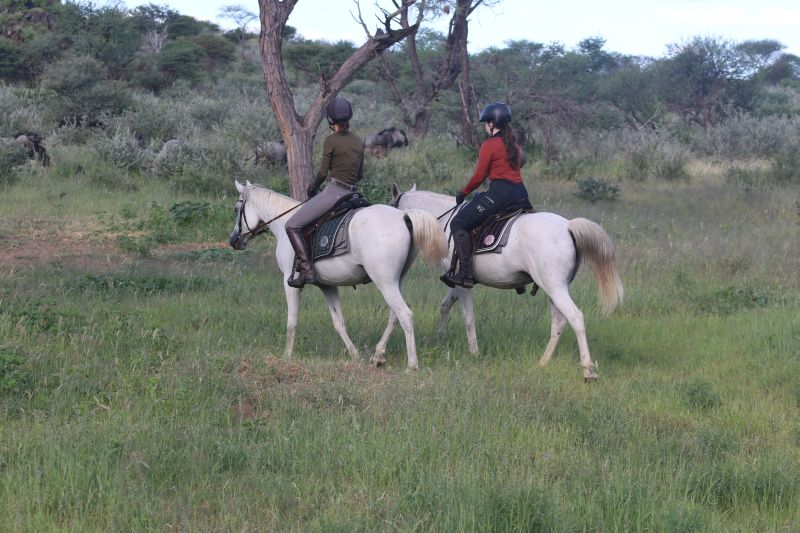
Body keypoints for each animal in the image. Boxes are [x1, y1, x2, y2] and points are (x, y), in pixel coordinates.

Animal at [230, 181, 450, 368]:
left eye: (236, 209)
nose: (233, 240)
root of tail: (404, 216)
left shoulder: (288, 282)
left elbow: (292, 320)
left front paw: (286, 356)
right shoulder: (328, 286)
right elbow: (339, 322)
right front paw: (354, 354)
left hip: (385, 282)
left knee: (405, 314)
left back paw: (412, 364)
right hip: (396, 281)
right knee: (394, 315)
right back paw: (378, 355)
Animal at [390, 185, 620, 380]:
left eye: (392, 207)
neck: (445, 220)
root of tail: (568, 227)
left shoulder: (461, 280)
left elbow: (468, 316)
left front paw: (473, 352)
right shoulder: (460, 281)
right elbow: (445, 305)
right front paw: (441, 337)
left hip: (555, 288)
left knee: (575, 317)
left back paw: (588, 370)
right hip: (554, 289)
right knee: (559, 322)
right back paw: (543, 362)